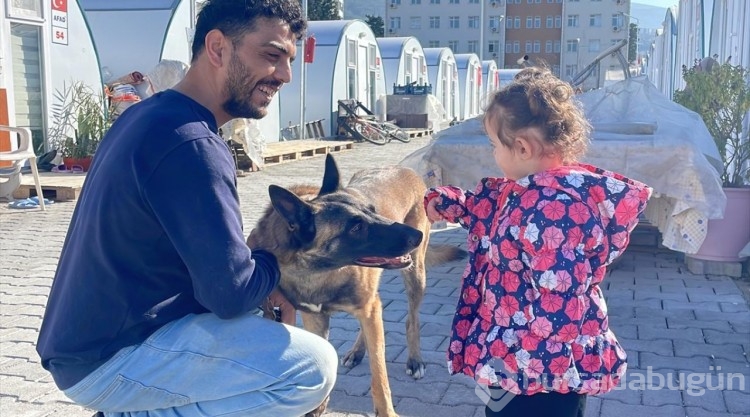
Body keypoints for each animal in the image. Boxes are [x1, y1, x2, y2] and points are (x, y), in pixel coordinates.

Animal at [250, 154, 468, 416]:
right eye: (356, 227)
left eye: (372, 210)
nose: (416, 236)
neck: (320, 272)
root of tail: (405, 168)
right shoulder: (315, 318)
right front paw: (319, 406)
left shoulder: (368, 308)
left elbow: (379, 374)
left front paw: (386, 411)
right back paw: (357, 351)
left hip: (415, 274)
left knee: (411, 319)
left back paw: (415, 359)